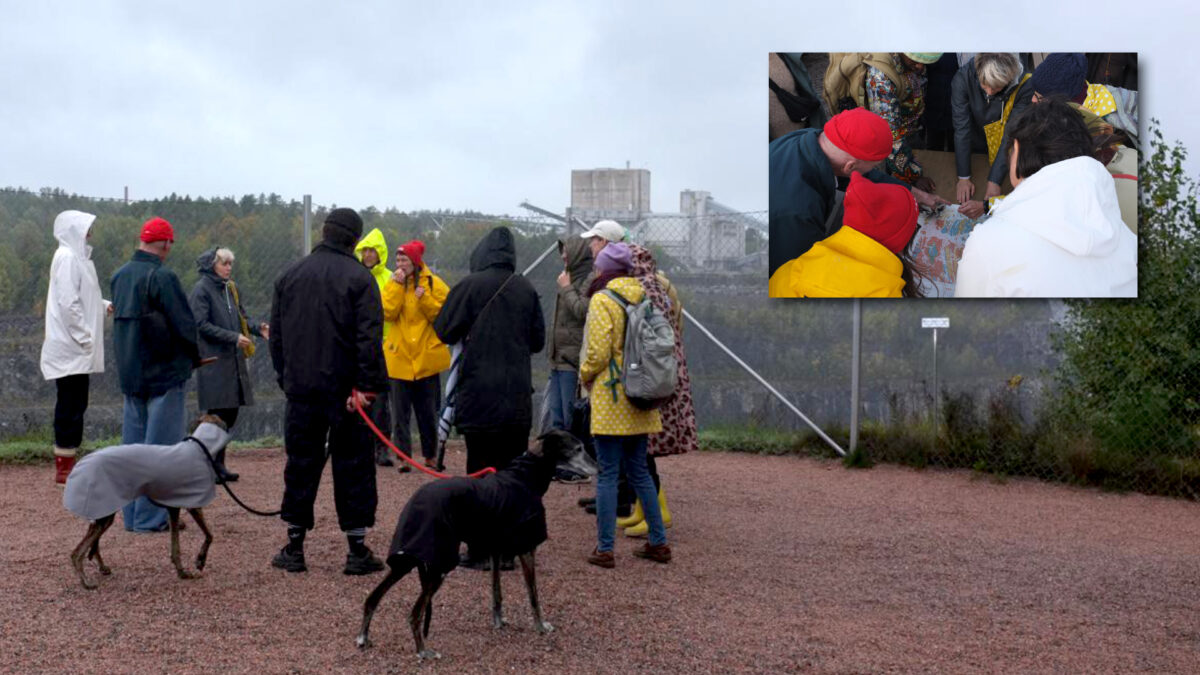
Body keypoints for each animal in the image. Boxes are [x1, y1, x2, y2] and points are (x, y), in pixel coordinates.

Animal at [355, 427, 600, 653]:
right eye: (578, 448)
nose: (599, 468)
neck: (524, 477)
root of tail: (415, 503)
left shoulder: (496, 549)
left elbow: (496, 592)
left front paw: (499, 622)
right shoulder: (527, 547)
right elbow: (533, 595)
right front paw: (541, 626)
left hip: (408, 558)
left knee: (372, 598)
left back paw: (363, 638)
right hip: (439, 565)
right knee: (414, 613)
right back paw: (423, 651)